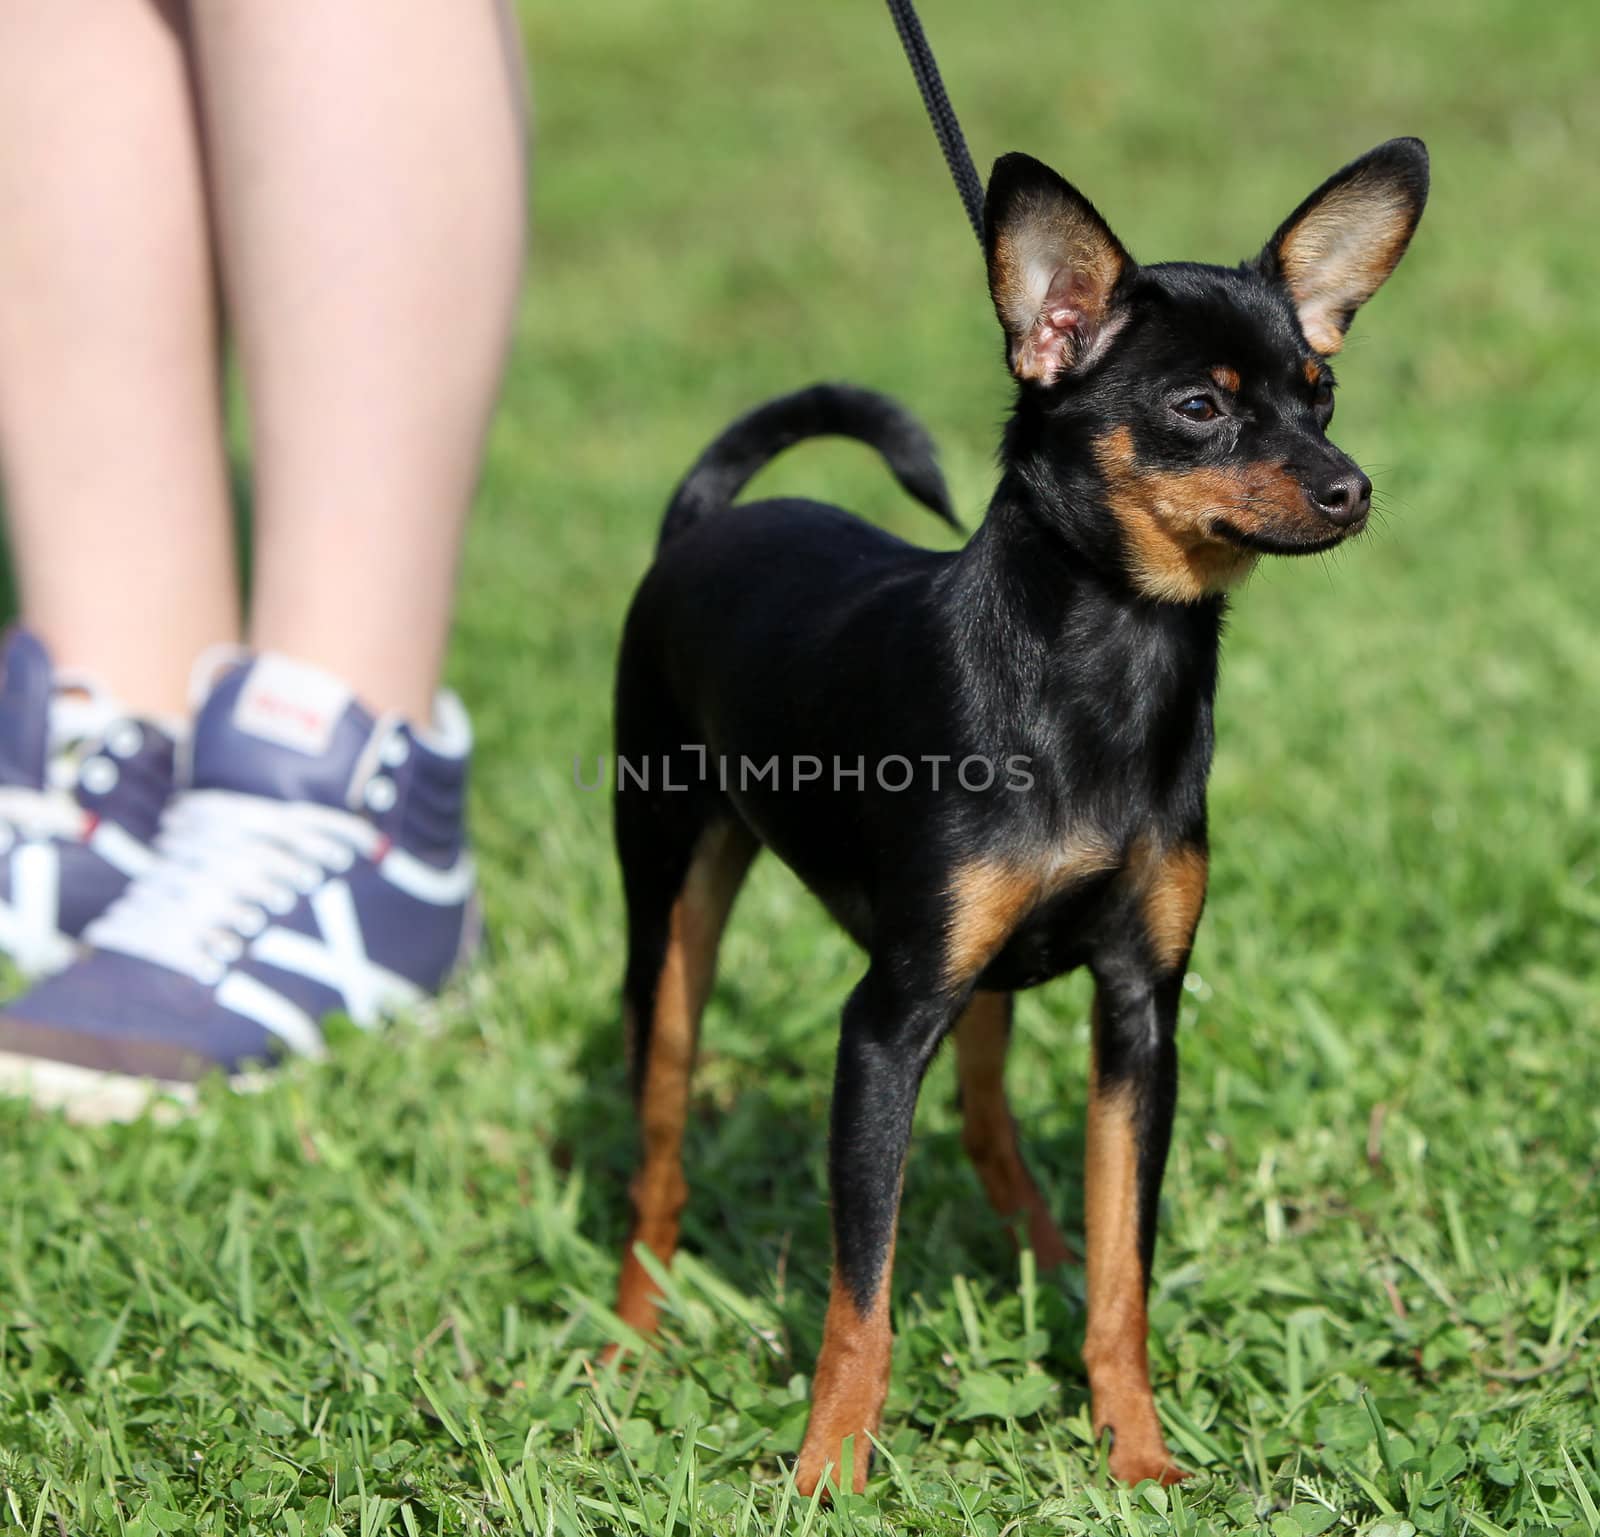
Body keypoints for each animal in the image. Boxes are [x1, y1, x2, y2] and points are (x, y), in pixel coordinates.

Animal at [604, 140, 1433, 1484]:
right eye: (1197, 407)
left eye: (1321, 392)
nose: (1349, 487)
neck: (1109, 659)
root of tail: (705, 520)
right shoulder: (884, 1024)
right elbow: (861, 1297)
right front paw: (828, 1469)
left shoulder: (1139, 1016)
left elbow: (1124, 1268)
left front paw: (1134, 1451)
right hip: (671, 927)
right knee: (658, 1159)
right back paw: (629, 1336)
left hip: (981, 976)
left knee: (990, 1121)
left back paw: (1040, 1254)